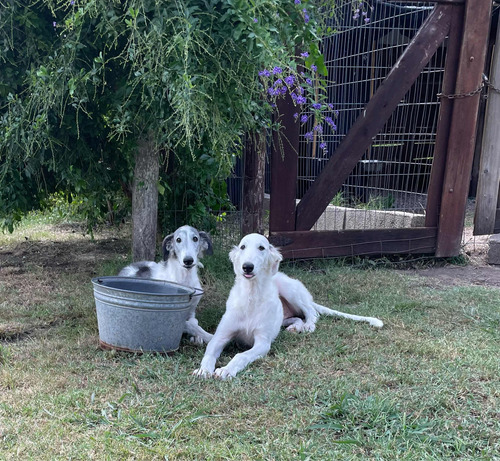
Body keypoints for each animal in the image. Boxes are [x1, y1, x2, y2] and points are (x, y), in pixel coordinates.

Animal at [193, 232, 380, 380]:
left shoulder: (262, 342)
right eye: (242, 246)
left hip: (289, 289)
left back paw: (308, 326)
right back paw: (295, 327)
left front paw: (226, 370)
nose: (247, 267)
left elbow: (241, 355)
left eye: (262, 248)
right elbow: (209, 353)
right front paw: (203, 370)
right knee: (296, 317)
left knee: (312, 312)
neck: (251, 296)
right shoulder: (221, 336)